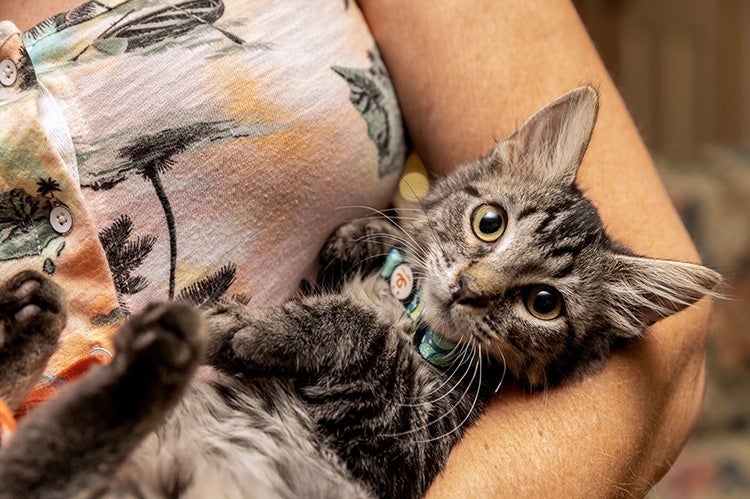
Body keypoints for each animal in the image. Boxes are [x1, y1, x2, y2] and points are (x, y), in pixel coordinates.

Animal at [0, 88, 720, 498]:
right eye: (489, 222)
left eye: (543, 304)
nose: (470, 288)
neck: (407, 315)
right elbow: (376, 252)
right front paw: (363, 237)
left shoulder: (404, 447)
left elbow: (363, 338)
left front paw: (258, 329)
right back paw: (27, 315)